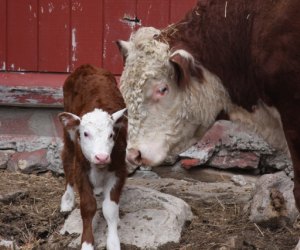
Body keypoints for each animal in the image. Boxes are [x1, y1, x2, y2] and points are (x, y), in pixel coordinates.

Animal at [58, 65, 126, 250]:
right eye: (86, 134)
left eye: (111, 135)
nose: (101, 157)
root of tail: (87, 66)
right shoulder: (81, 168)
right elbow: (88, 207)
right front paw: (87, 243)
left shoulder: (119, 169)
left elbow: (110, 208)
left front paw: (113, 242)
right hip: (68, 134)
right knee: (67, 159)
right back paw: (67, 201)